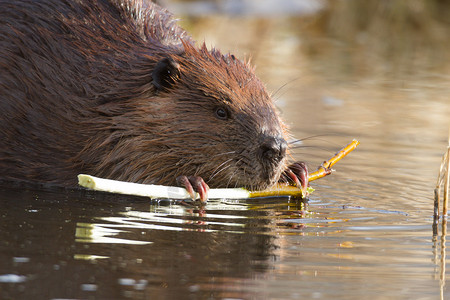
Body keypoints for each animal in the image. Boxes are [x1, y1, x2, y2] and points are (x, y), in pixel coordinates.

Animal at [0, 0, 306, 202]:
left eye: (271, 105)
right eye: (221, 111)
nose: (275, 148)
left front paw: (295, 172)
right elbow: (120, 167)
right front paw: (192, 181)